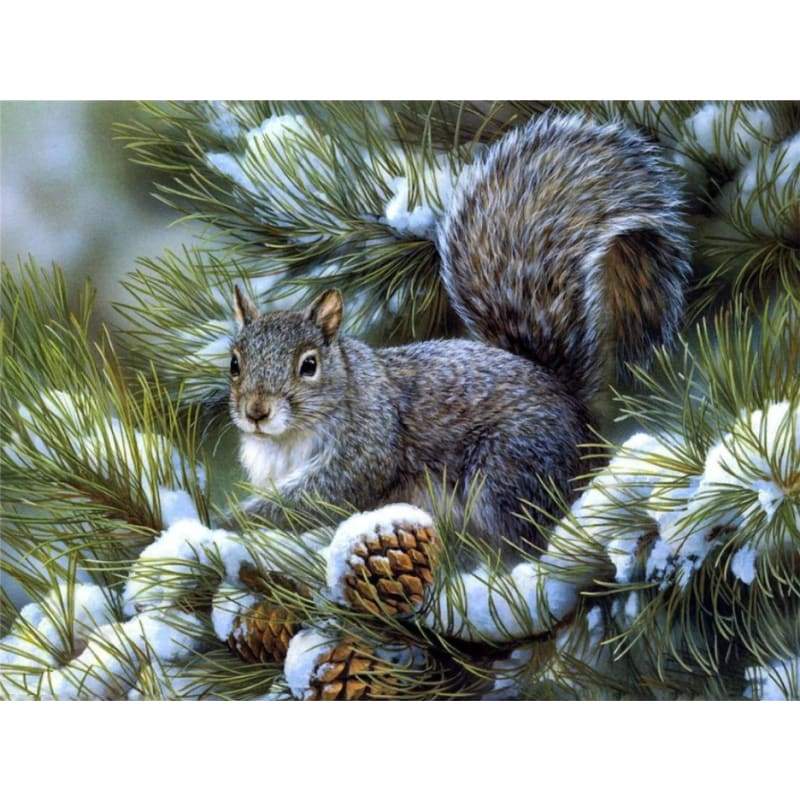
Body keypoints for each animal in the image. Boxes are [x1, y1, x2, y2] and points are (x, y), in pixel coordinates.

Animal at [228, 113, 691, 550]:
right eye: (234, 363)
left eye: (309, 365)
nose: (256, 412)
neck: (287, 439)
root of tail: (577, 414)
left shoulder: (367, 445)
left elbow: (322, 496)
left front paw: (239, 520)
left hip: (510, 468)